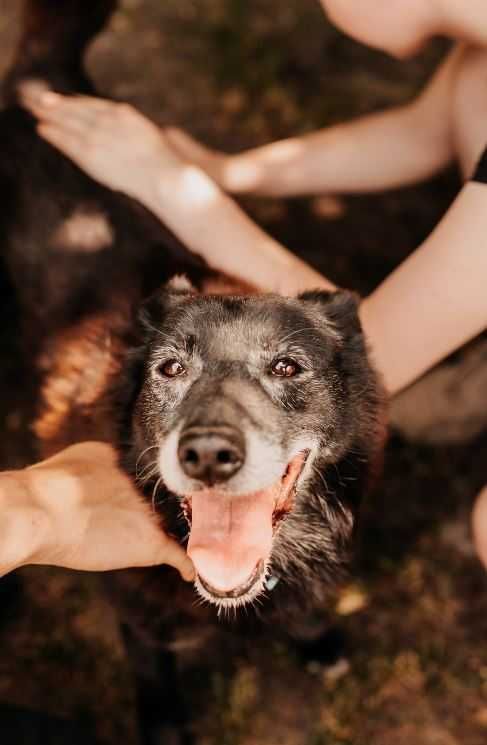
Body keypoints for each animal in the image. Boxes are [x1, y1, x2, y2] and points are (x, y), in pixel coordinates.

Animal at [1, 0, 386, 740]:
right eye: (171, 368)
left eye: (287, 365)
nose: (208, 453)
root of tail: (33, 86)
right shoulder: (137, 615)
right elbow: (156, 679)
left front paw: (317, 640)